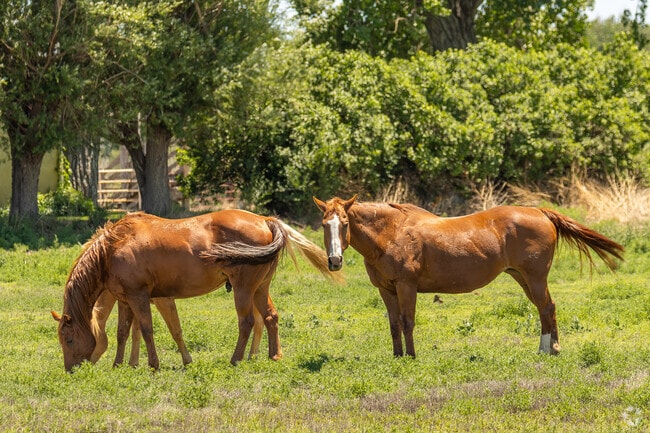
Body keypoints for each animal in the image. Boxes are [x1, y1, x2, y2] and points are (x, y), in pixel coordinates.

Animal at [52, 210, 341, 371]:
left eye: (69, 340)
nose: (70, 370)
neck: (114, 245)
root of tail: (265, 220)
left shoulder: (140, 297)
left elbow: (147, 330)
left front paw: (153, 364)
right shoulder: (125, 300)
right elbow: (123, 332)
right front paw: (119, 364)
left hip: (243, 289)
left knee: (247, 322)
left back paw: (236, 359)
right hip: (260, 288)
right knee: (270, 317)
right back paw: (274, 356)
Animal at [313, 195, 624, 357]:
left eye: (344, 223)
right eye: (324, 224)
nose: (334, 261)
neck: (391, 233)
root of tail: (539, 211)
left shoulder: (406, 286)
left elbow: (407, 322)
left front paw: (411, 357)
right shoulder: (386, 289)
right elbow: (393, 324)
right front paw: (397, 356)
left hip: (535, 277)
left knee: (546, 308)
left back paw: (545, 350)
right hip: (522, 277)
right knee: (547, 308)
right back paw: (553, 348)